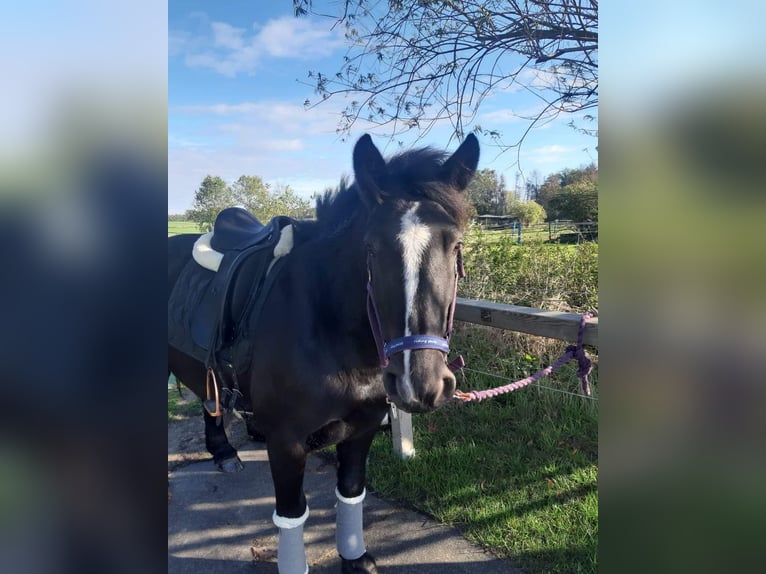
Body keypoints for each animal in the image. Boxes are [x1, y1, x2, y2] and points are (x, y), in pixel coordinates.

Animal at [169, 134, 480, 572]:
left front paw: (355, 557)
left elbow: (350, 491)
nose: (419, 384)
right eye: (371, 248)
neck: (329, 328)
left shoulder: (363, 427)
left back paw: (223, 451)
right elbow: (291, 513)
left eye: (455, 245)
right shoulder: (286, 442)